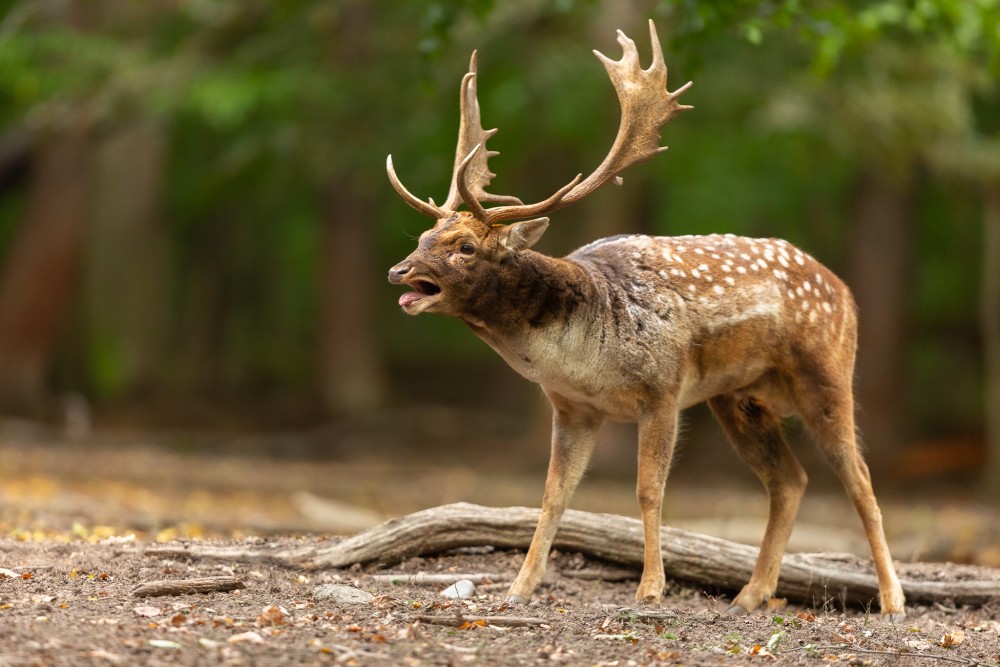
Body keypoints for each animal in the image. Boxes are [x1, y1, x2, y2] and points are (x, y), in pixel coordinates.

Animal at [386, 18, 912, 620]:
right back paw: (750, 595)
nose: (399, 270)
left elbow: (648, 490)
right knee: (790, 480)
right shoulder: (571, 408)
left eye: (466, 247)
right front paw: (519, 587)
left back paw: (893, 600)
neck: (581, 357)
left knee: (861, 482)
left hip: (827, 374)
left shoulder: (662, 390)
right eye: (424, 236)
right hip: (738, 398)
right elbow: (552, 494)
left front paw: (650, 588)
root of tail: (845, 291)